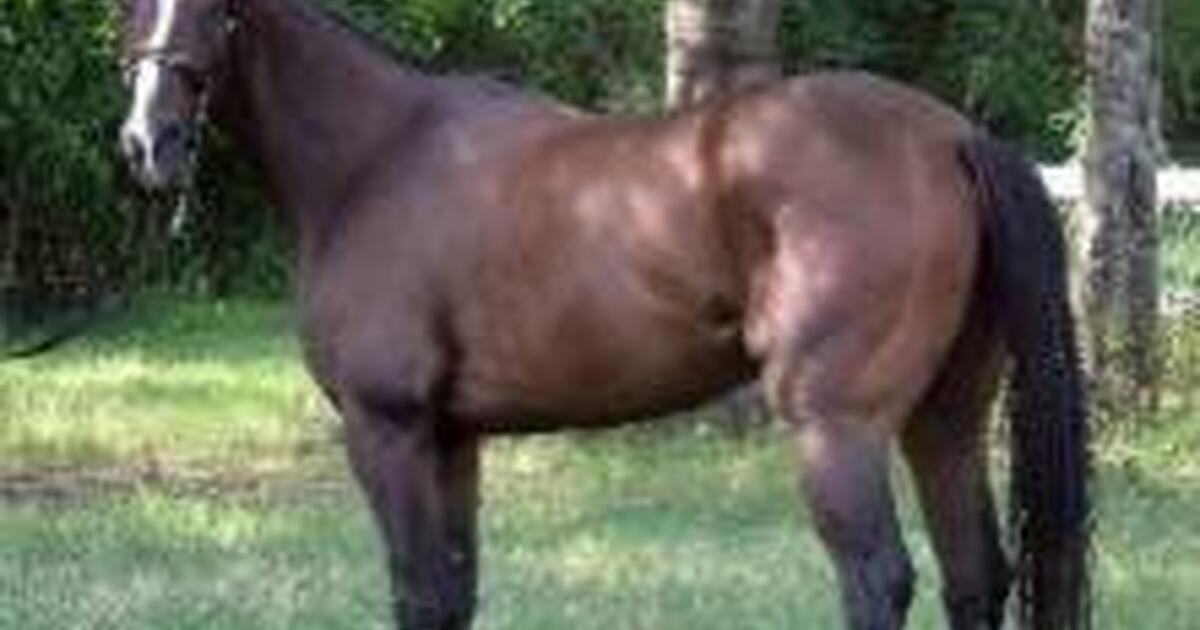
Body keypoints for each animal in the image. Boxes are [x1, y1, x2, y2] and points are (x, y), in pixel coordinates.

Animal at [115, 0, 1090, 627]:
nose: (145, 142)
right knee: (975, 576)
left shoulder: (386, 429)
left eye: (215, 6)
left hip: (836, 429)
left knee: (878, 579)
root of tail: (949, 135)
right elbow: (453, 595)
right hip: (944, 419)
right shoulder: (450, 439)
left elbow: (416, 593)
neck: (376, 160)